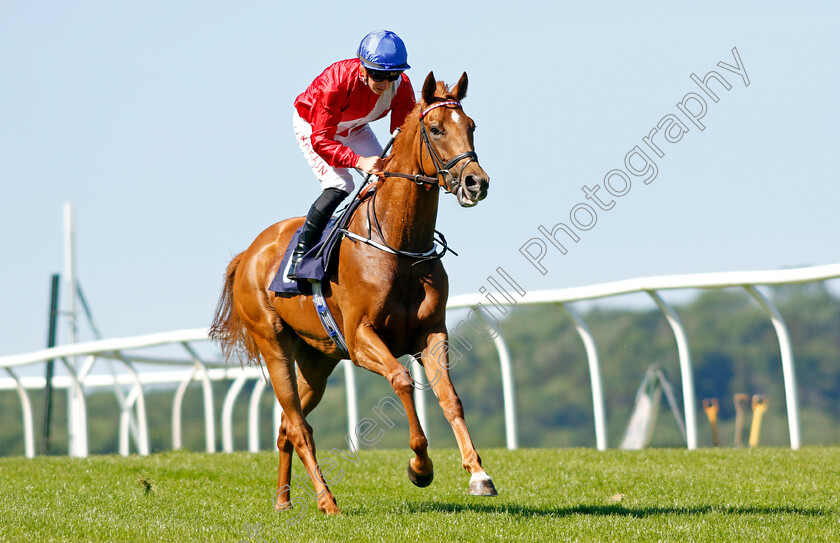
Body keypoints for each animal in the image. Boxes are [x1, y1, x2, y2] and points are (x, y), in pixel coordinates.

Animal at [210, 70, 496, 516]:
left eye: (471, 126)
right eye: (435, 129)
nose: (475, 182)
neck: (398, 243)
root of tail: (249, 253)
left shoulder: (432, 333)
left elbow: (451, 398)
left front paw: (478, 474)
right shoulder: (361, 339)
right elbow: (401, 380)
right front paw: (420, 467)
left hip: (317, 361)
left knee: (286, 426)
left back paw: (283, 500)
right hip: (274, 345)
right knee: (298, 425)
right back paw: (326, 501)